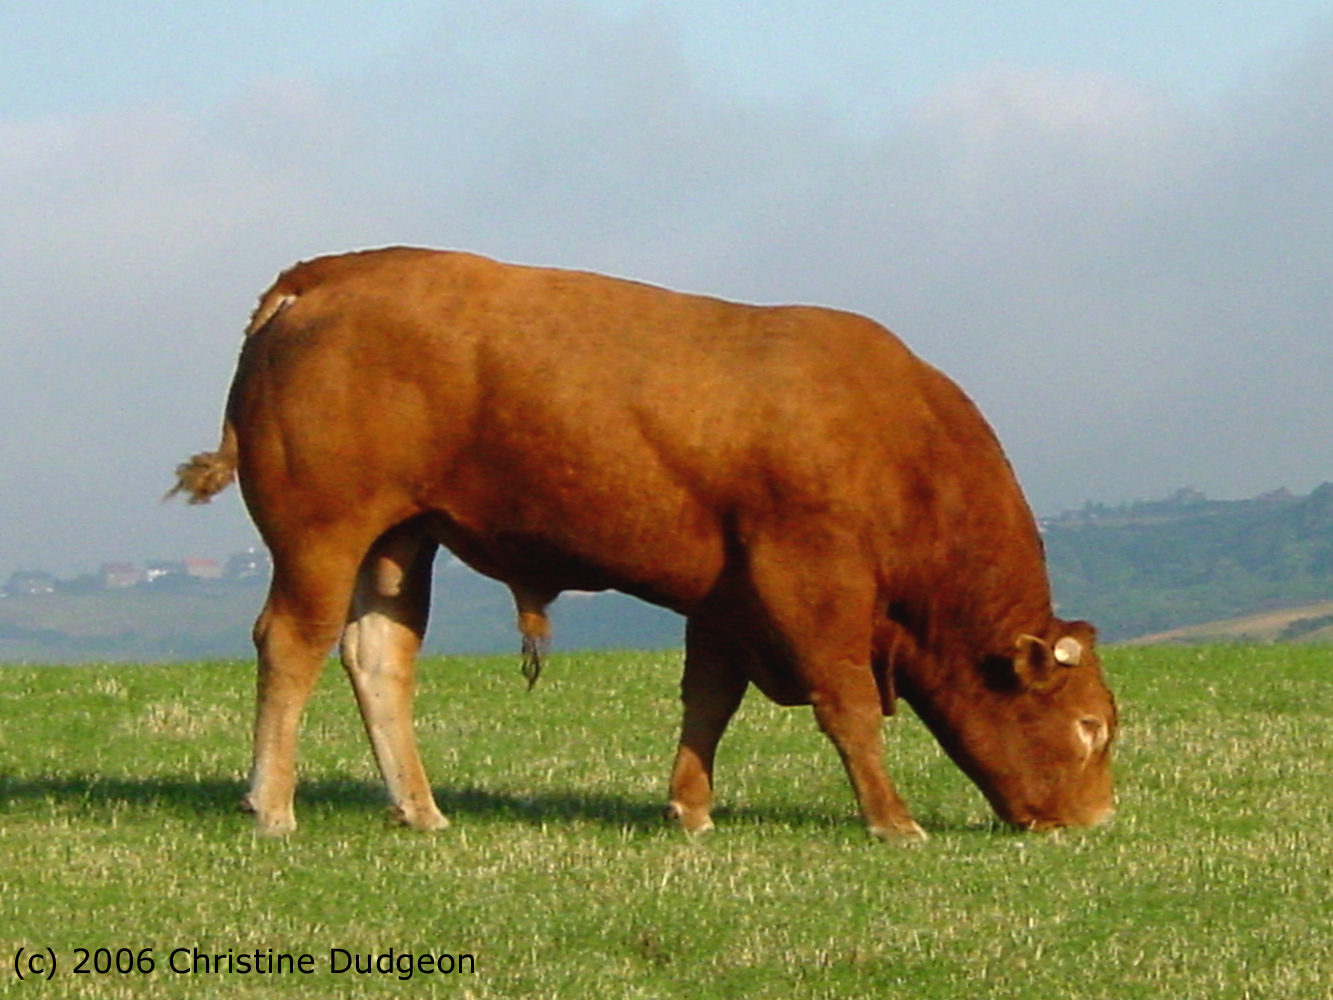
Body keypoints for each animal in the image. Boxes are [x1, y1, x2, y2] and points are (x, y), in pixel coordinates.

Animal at [174, 246, 1114, 842]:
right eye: (1092, 727)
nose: (1097, 818)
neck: (903, 444)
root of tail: (331, 273)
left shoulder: (729, 598)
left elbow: (708, 701)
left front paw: (689, 809)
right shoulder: (811, 581)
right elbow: (845, 706)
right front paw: (893, 821)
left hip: (399, 541)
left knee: (377, 656)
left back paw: (420, 809)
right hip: (323, 533)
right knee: (291, 645)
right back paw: (272, 806)